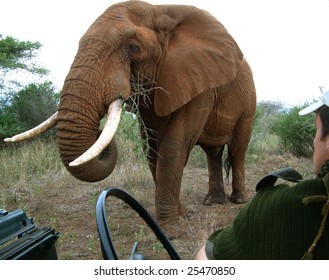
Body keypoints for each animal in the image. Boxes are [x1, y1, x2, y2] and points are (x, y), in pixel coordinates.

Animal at [5, 0, 256, 236]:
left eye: (133, 47)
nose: (99, 128)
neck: (160, 10)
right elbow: (151, 147)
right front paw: (181, 216)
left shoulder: (199, 83)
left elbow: (173, 146)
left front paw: (169, 231)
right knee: (213, 153)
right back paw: (212, 202)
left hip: (248, 104)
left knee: (237, 149)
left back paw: (238, 200)